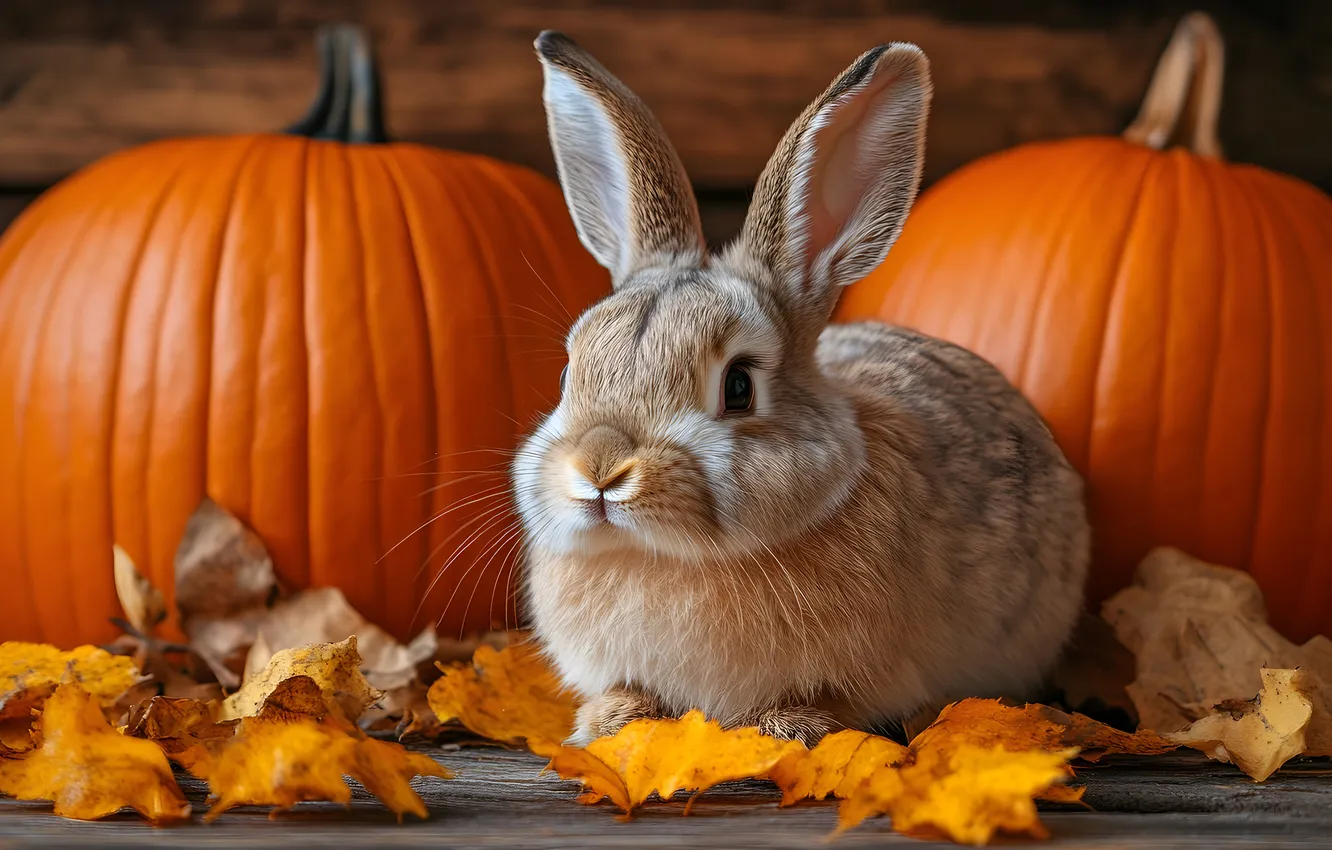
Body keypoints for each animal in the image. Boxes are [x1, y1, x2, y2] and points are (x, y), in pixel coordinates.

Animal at [512, 30, 1091, 747]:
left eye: (738, 387)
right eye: (570, 373)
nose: (599, 470)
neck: (658, 557)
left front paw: (791, 728)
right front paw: (612, 719)